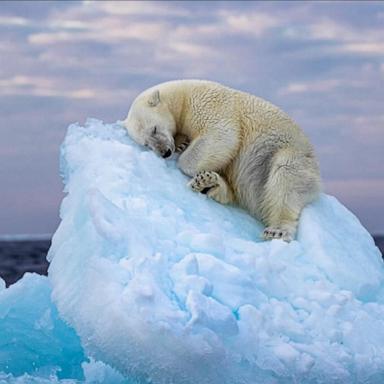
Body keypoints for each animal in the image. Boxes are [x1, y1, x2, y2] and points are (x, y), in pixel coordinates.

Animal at [124, 80, 320, 242]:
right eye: (146, 143)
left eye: (154, 129)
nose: (165, 152)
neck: (182, 96)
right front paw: (182, 143)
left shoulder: (208, 105)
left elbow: (222, 135)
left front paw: (184, 154)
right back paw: (208, 183)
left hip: (289, 155)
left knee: (285, 178)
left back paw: (277, 230)